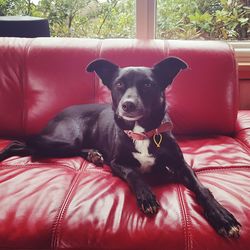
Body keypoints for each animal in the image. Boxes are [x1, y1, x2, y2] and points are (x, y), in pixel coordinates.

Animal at [0, 57, 240, 238]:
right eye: (118, 85)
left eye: (148, 84)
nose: (128, 105)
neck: (141, 132)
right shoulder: (117, 163)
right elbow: (134, 173)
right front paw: (146, 196)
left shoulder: (180, 165)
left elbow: (202, 189)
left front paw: (222, 216)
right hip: (66, 138)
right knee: (23, 144)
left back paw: (94, 155)